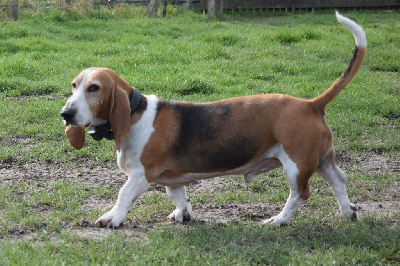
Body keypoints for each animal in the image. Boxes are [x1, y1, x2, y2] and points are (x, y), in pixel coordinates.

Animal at [61, 11, 366, 229]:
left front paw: (112, 218)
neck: (136, 113)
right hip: (321, 160)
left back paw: (279, 220)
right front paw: (182, 213)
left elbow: (123, 196)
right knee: (339, 180)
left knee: (301, 195)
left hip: (296, 166)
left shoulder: (140, 176)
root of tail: (310, 104)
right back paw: (347, 211)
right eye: (74, 85)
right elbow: (178, 195)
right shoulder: (173, 178)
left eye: (94, 88)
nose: (66, 114)